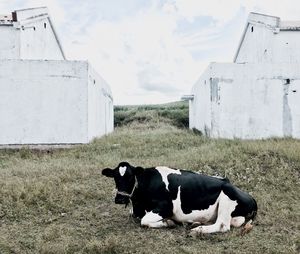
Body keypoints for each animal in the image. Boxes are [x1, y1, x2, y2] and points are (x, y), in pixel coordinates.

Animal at [102, 162, 256, 235]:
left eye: (130, 177)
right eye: (115, 177)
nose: (120, 199)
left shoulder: (165, 207)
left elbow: (144, 221)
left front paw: (168, 222)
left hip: (227, 196)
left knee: (223, 225)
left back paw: (198, 230)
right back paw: (195, 224)